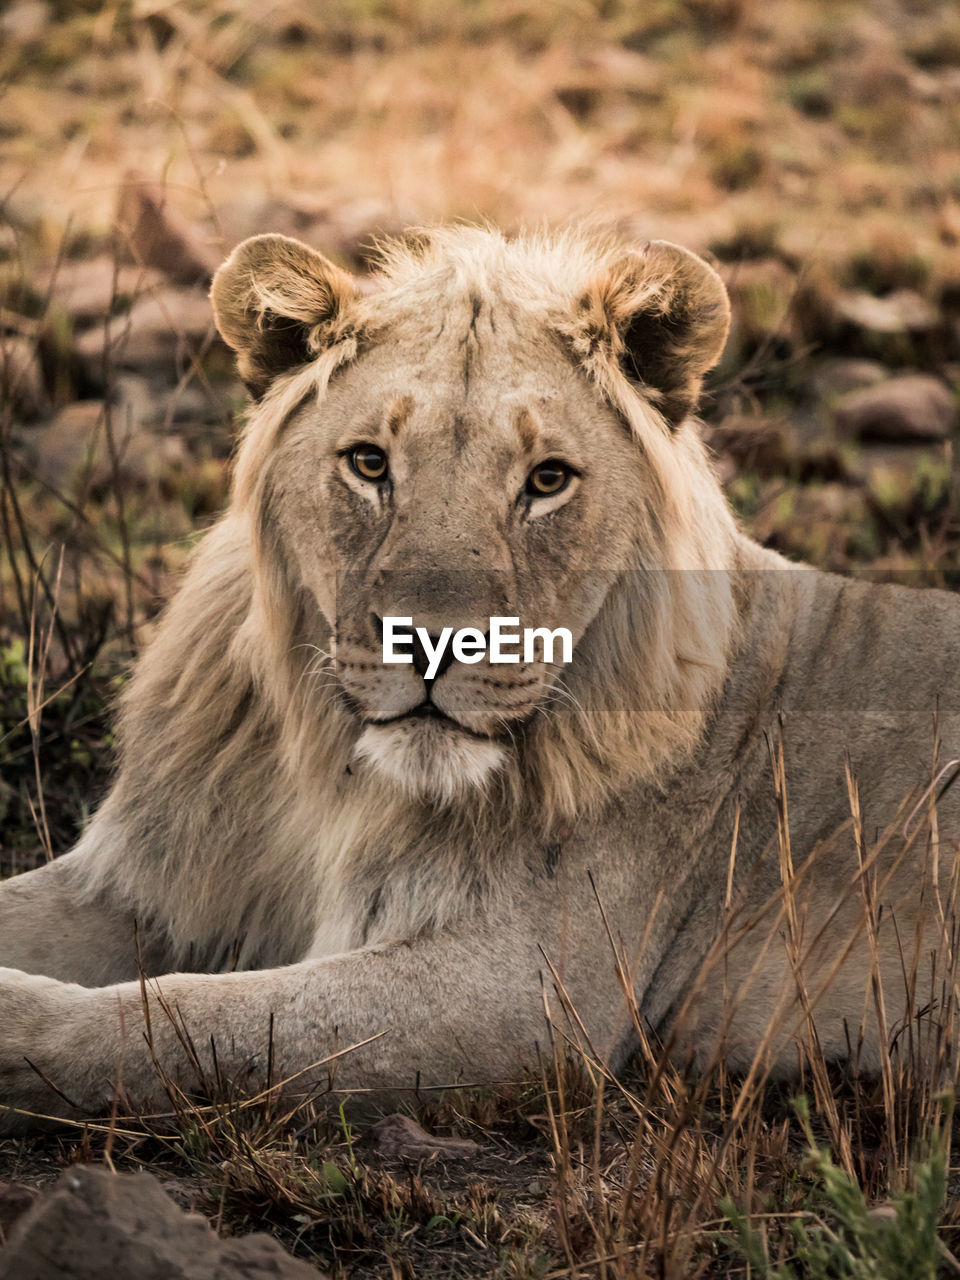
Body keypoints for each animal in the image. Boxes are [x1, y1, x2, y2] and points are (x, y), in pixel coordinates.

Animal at [1, 222, 960, 1131]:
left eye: (547, 480)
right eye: (370, 463)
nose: (432, 645)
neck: (332, 776)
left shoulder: (520, 991)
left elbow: (187, 1019)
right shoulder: (146, 888)